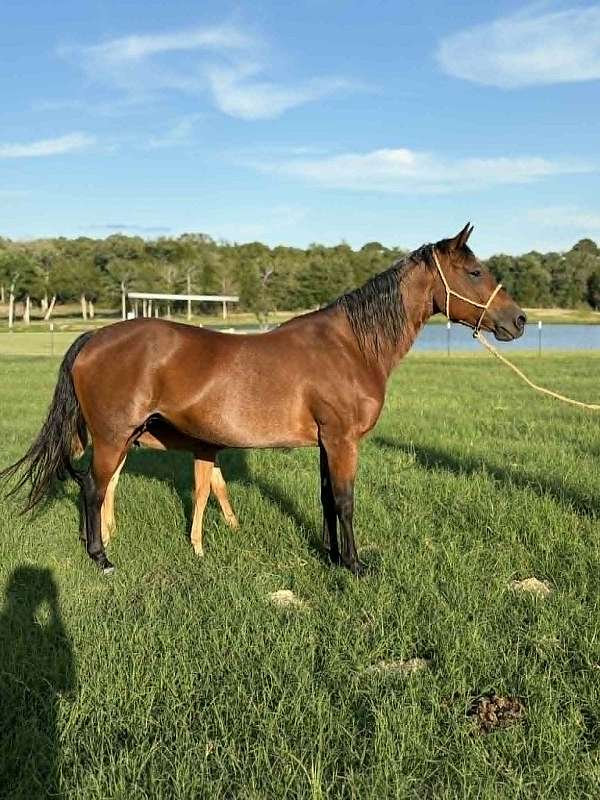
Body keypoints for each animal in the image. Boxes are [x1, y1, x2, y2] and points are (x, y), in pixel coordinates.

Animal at [0, 224, 526, 575]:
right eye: (475, 271)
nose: (518, 320)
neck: (350, 345)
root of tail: (95, 337)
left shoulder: (327, 443)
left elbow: (327, 499)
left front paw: (332, 557)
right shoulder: (343, 441)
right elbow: (346, 499)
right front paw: (355, 566)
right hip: (113, 439)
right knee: (93, 488)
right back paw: (102, 558)